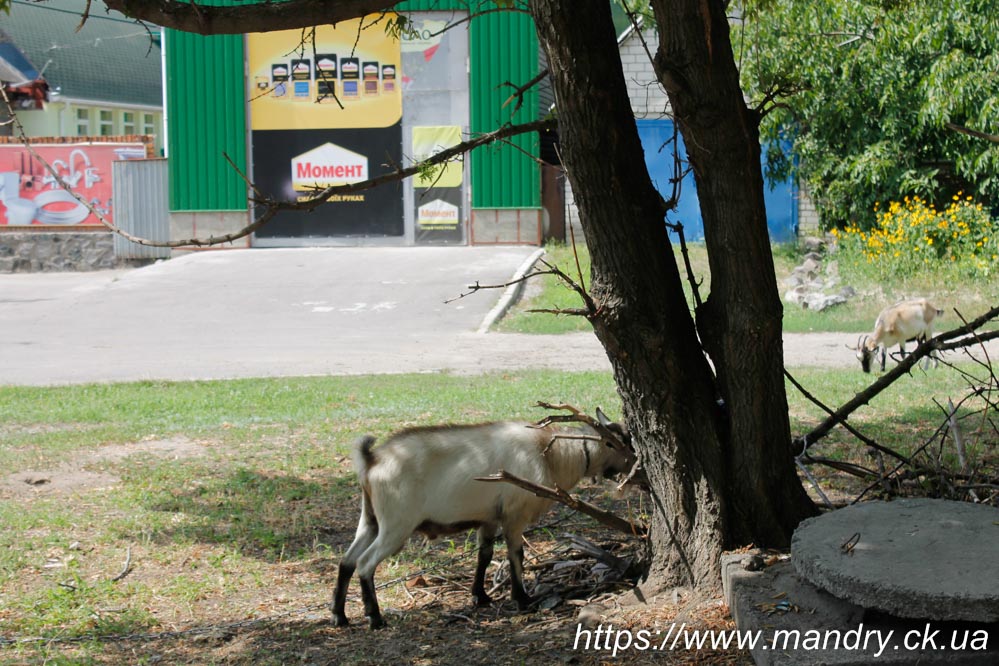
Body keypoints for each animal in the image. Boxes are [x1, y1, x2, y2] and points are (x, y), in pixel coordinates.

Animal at [332, 411, 634, 629]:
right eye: (616, 442)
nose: (635, 464)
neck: (549, 452)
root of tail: (372, 460)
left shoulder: (489, 518)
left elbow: (485, 555)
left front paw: (480, 596)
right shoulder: (515, 515)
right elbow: (516, 555)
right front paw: (522, 599)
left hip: (370, 519)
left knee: (347, 561)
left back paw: (339, 616)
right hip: (396, 524)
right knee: (365, 563)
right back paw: (375, 618)